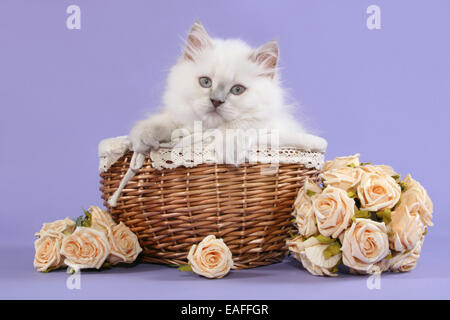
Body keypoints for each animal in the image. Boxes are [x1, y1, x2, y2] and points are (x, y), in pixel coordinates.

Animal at [128, 20, 326, 158]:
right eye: (205, 82)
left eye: (237, 90)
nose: (216, 101)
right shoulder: (180, 119)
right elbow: (165, 121)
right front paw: (144, 137)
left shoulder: (271, 125)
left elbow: (240, 125)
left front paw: (228, 150)